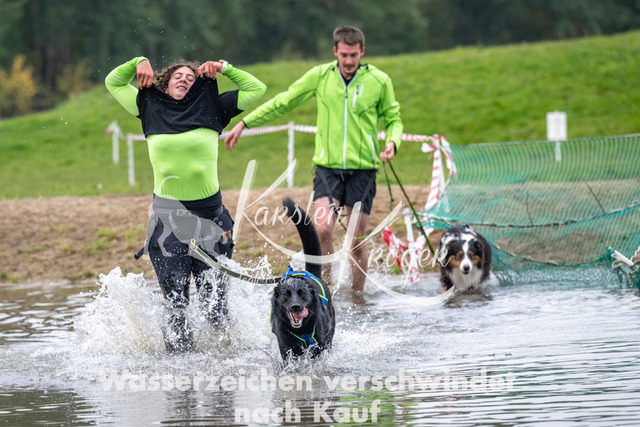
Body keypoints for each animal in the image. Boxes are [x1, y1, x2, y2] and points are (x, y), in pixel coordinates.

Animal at [270, 198, 335, 361]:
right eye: (286, 294)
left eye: (302, 293)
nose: (296, 307)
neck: (301, 329)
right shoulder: (287, 347)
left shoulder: (319, 346)